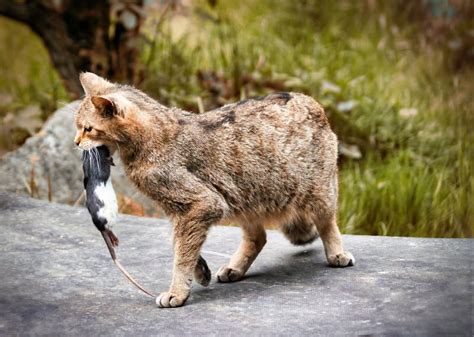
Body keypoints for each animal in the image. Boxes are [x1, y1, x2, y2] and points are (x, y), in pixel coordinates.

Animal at [74, 71, 354, 308]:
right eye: (77, 126)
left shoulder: (200, 204)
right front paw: (199, 271)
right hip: (246, 198)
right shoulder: (180, 211)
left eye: (88, 128)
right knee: (258, 238)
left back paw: (337, 253)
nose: (76, 142)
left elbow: (181, 254)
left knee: (327, 224)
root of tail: (309, 100)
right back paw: (235, 268)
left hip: (318, 194)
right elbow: (181, 245)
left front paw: (177, 291)